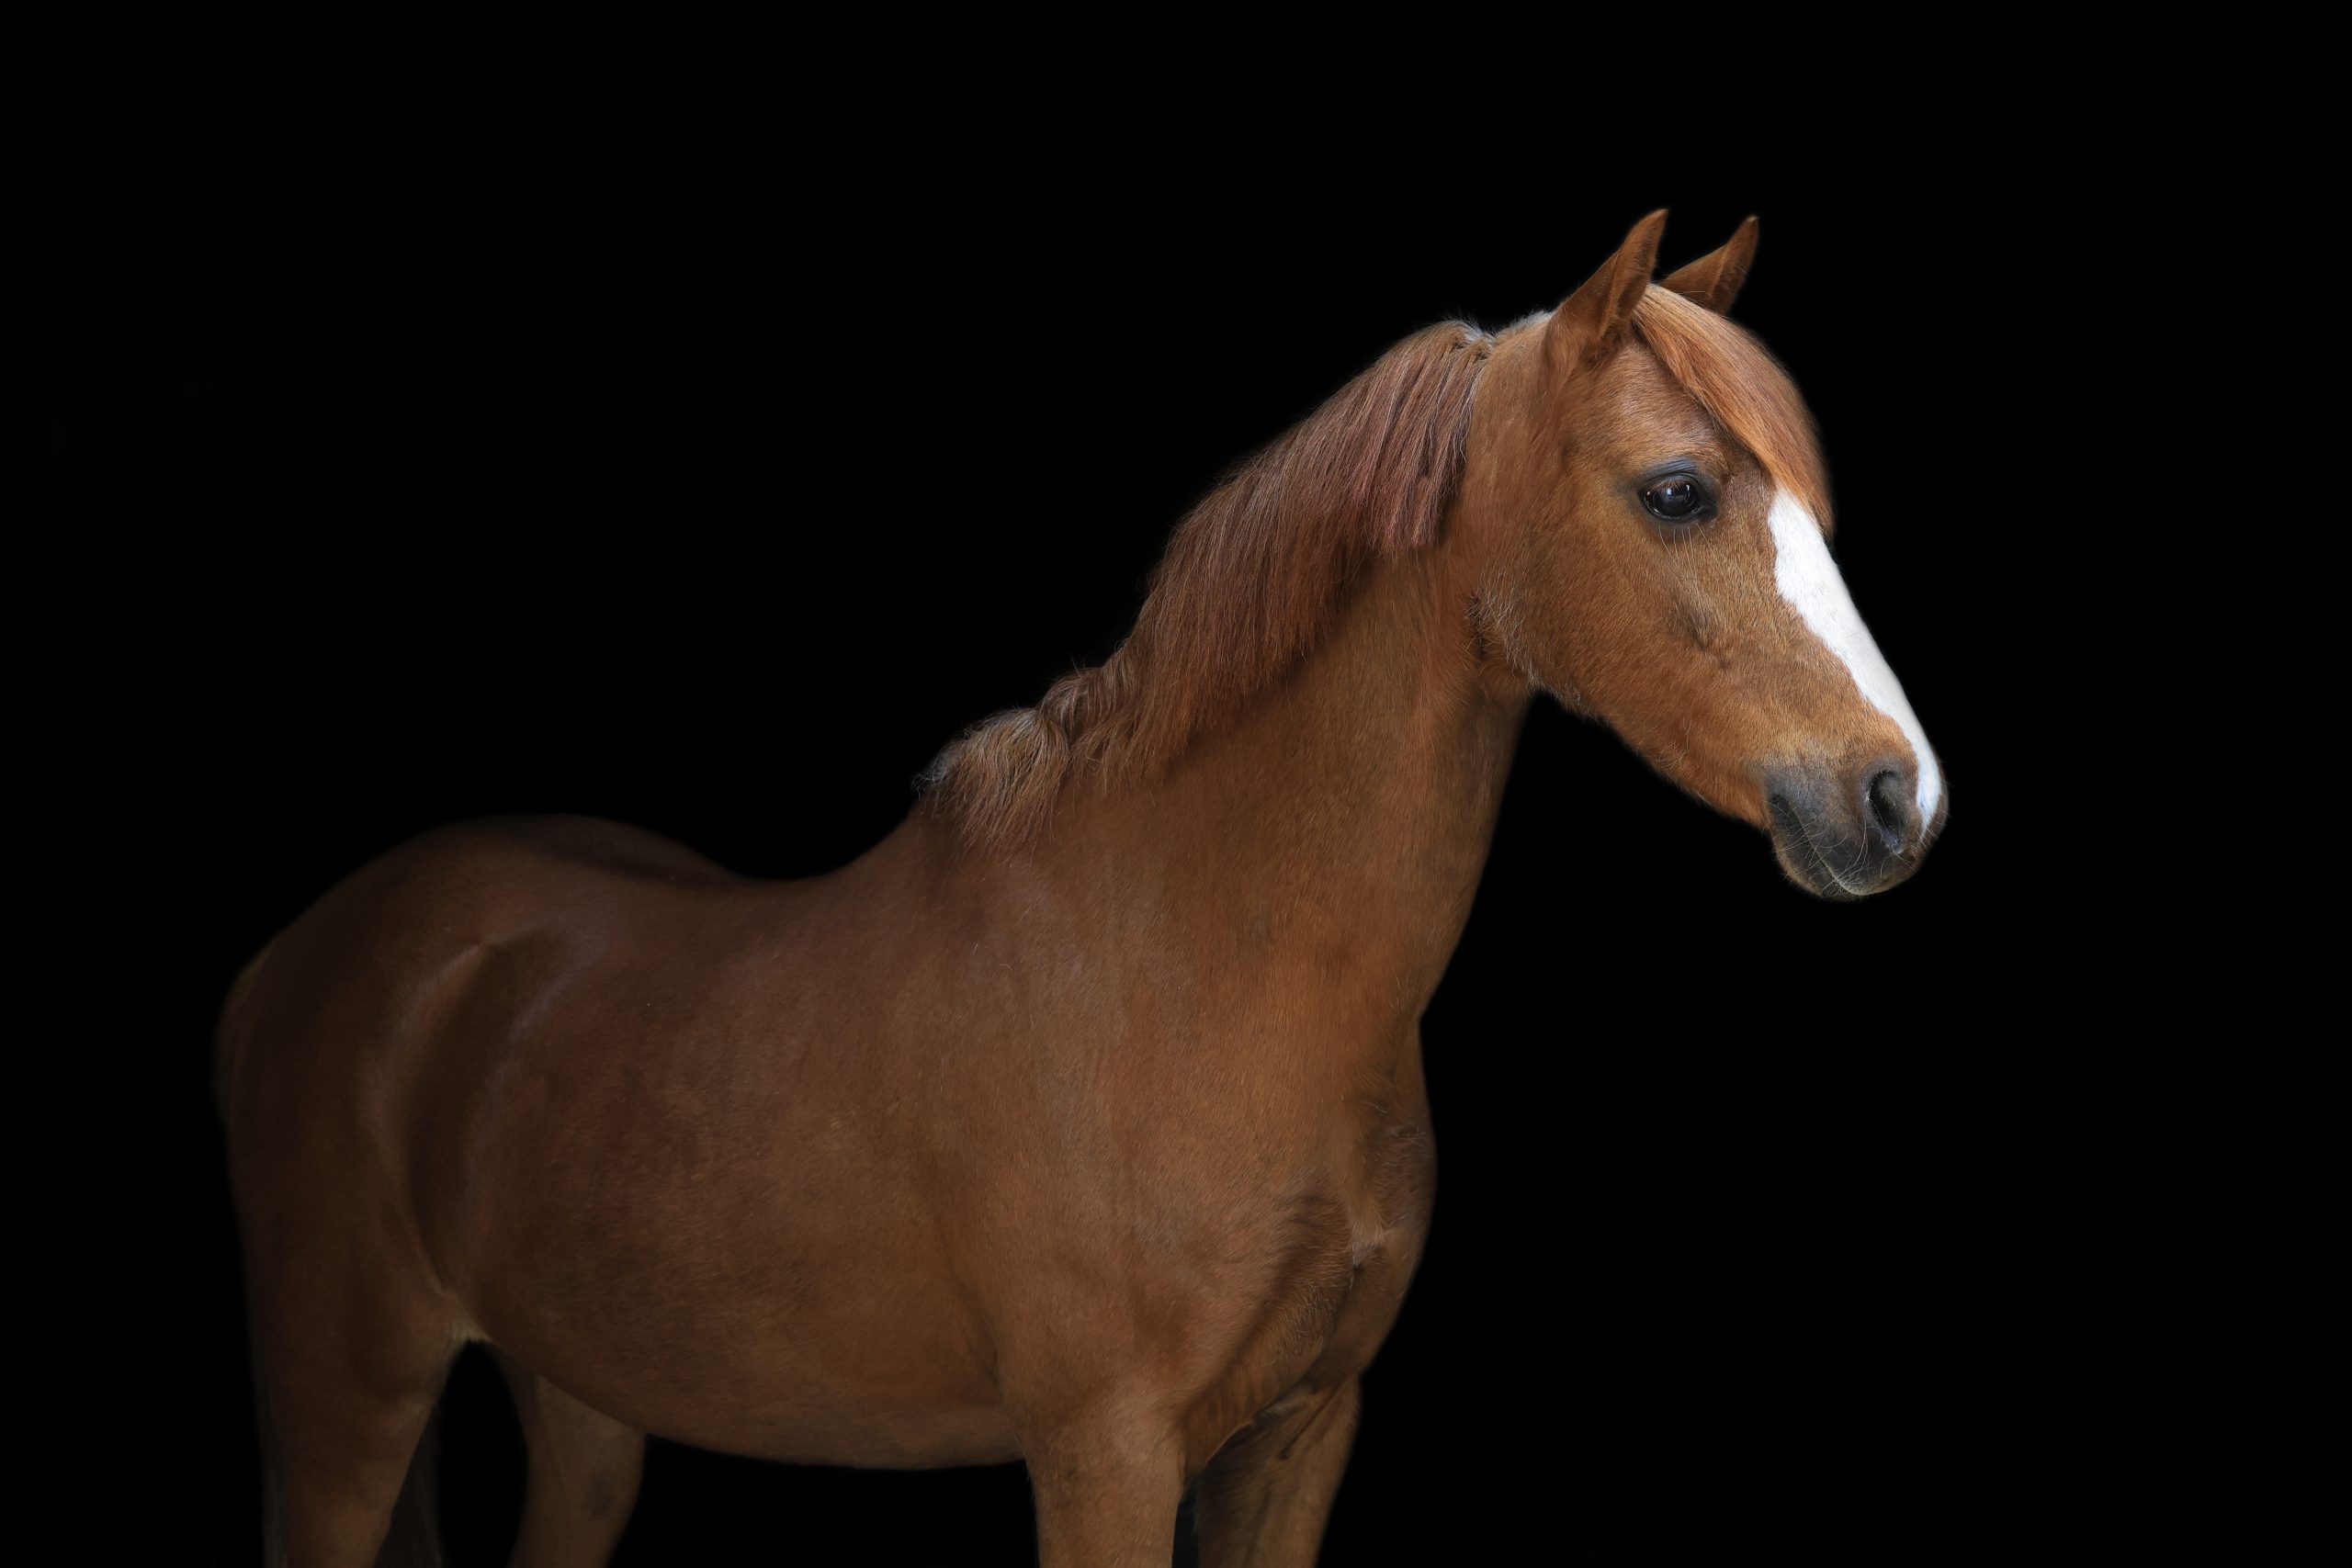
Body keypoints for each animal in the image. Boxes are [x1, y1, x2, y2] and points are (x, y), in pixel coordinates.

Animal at [215, 209, 1945, 1567]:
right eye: (1677, 490)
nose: (1897, 798)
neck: (1196, 971)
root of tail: (299, 956)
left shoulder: (1299, 1434)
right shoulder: (1106, 1454)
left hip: (582, 1407)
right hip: (344, 1401)